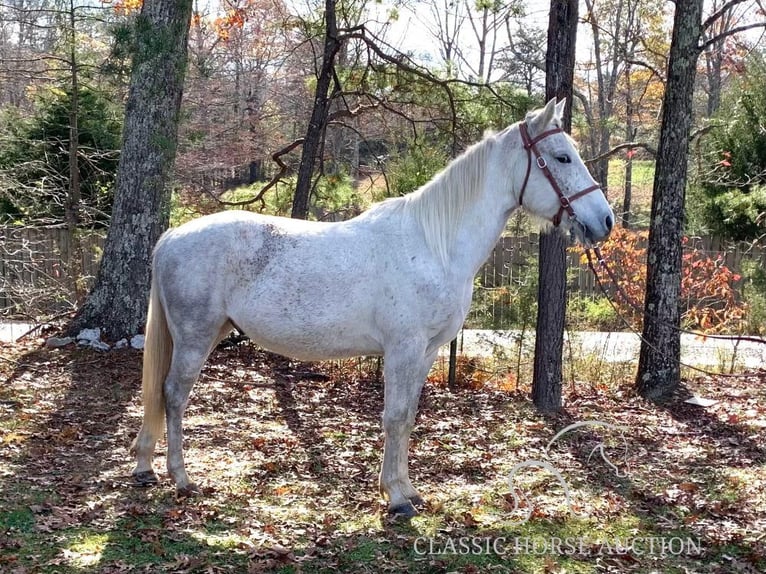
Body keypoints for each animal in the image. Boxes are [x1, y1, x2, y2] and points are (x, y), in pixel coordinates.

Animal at [130, 98, 612, 516]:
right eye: (562, 157)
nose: (604, 221)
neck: (434, 245)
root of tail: (171, 237)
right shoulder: (402, 349)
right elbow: (394, 417)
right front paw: (396, 499)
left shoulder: (426, 352)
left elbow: (408, 417)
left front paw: (407, 490)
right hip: (195, 337)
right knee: (173, 395)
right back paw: (181, 477)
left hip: (209, 332)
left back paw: (146, 468)